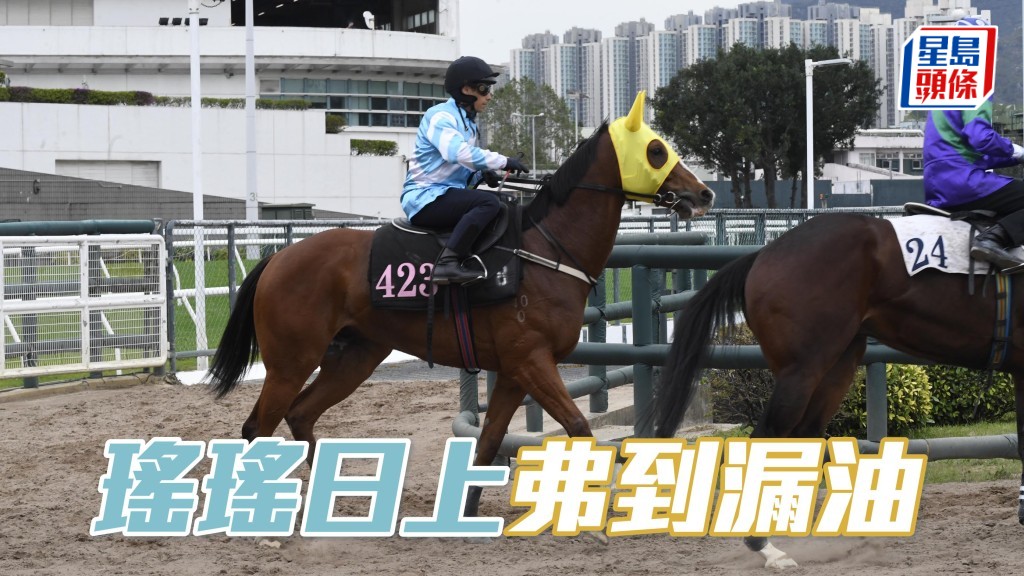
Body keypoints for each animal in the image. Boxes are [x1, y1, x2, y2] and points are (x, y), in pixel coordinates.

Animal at [207, 91, 715, 516]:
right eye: (656, 150)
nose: (704, 193)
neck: (544, 250)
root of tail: (278, 259)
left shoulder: (513, 370)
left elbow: (490, 443)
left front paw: (466, 510)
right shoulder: (531, 360)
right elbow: (577, 427)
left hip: (353, 358)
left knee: (300, 415)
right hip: (291, 361)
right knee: (257, 427)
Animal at [651, 211, 1024, 568]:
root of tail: (765, 252)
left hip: (837, 368)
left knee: (802, 441)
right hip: (802, 371)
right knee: (767, 440)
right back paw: (764, 546)